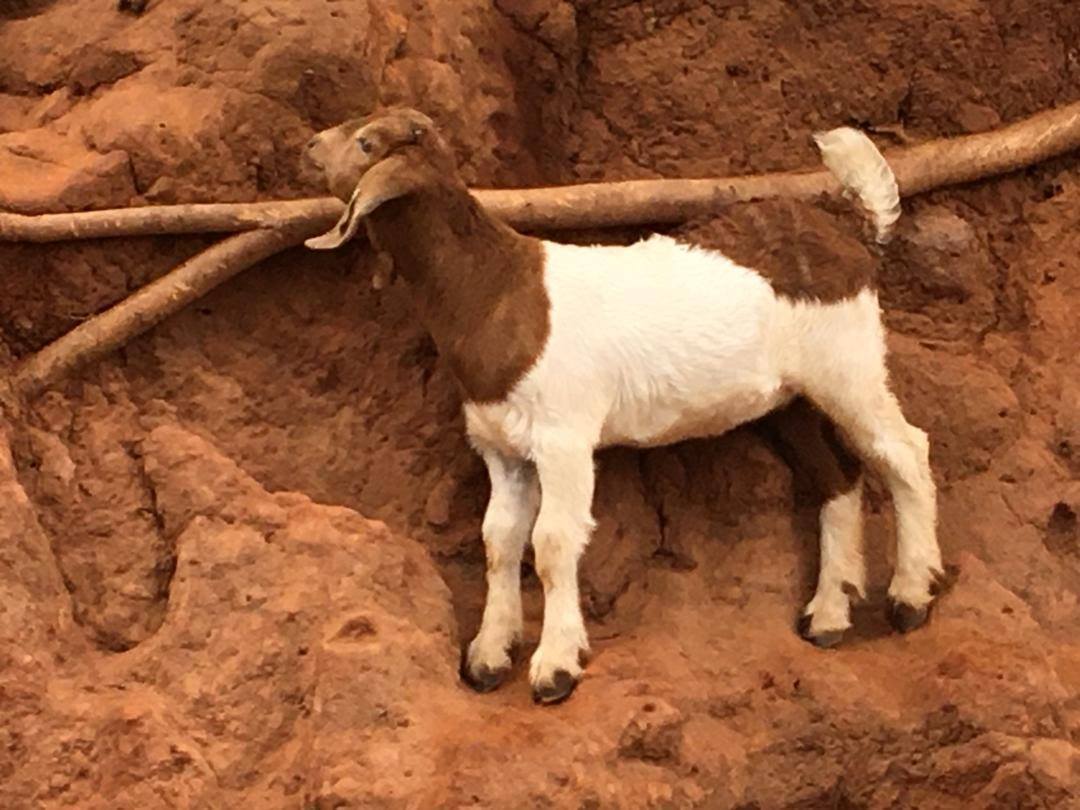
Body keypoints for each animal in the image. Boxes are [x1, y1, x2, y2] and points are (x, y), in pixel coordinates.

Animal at [303, 108, 944, 705]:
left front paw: (555, 667)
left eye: (367, 142)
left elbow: (553, 542)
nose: (309, 147)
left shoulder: (563, 437)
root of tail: (853, 235)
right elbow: (499, 539)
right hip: (790, 398)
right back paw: (829, 614)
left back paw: (912, 595)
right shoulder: (500, 446)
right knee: (837, 476)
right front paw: (489, 653)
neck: (494, 288)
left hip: (849, 363)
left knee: (905, 451)